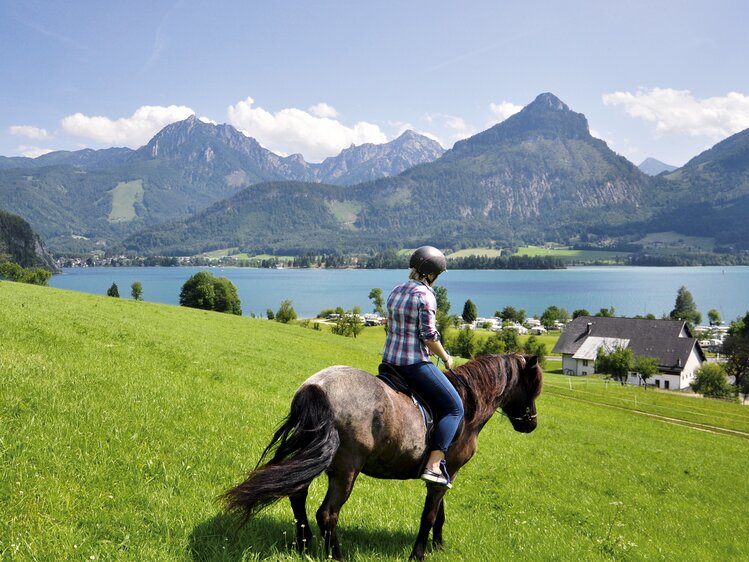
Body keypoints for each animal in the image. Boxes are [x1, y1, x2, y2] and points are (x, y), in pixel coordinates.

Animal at [222, 352, 544, 556]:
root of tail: (317, 386)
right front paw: (419, 554)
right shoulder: (446, 471)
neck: (468, 407)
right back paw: (335, 556)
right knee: (327, 514)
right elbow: (430, 515)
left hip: (315, 454)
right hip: (346, 468)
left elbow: (439, 514)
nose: (531, 424)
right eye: (533, 388)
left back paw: (303, 545)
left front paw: (438, 546)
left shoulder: (444, 475)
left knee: (297, 494)